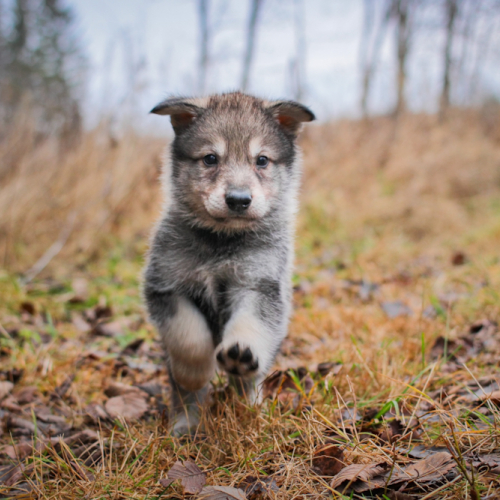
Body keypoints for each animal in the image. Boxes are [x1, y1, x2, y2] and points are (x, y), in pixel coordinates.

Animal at [144, 93, 312, 434]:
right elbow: (189, 338)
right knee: (183, 392)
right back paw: (185, 424)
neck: (221, 242)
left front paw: (241, 352)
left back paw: (250, 405)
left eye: (261, 160)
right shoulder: (166, 286)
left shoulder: (259, 286)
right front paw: (195, 373)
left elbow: (250, 324)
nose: (238, 199)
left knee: (249, 381)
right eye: (210, 158)